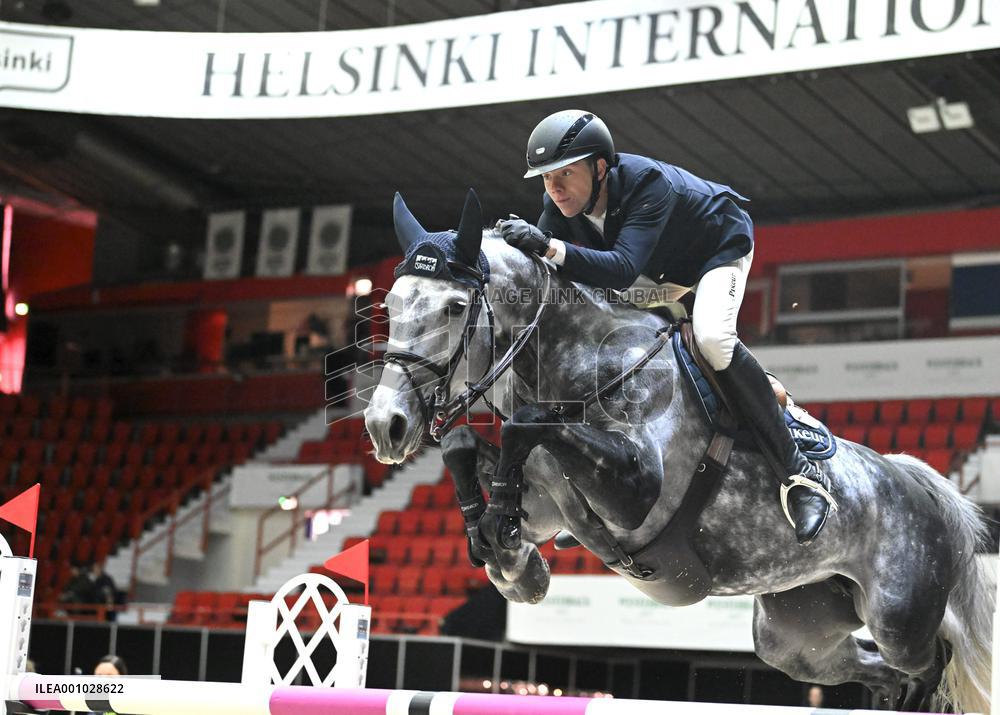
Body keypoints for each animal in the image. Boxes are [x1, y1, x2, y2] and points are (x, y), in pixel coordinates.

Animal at [363, 190, 994, 713]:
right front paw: (506, 550)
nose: (384, 426)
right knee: (870, 668)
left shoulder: (638, 493)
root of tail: (915, 481)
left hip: (900, 616)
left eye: (453, 307)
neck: (577, 361)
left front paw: (507, 542)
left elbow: (524, 426)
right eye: (389, 303)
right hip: (798, 633)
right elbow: (465, 447)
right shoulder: (549, 506)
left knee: (930, 661)